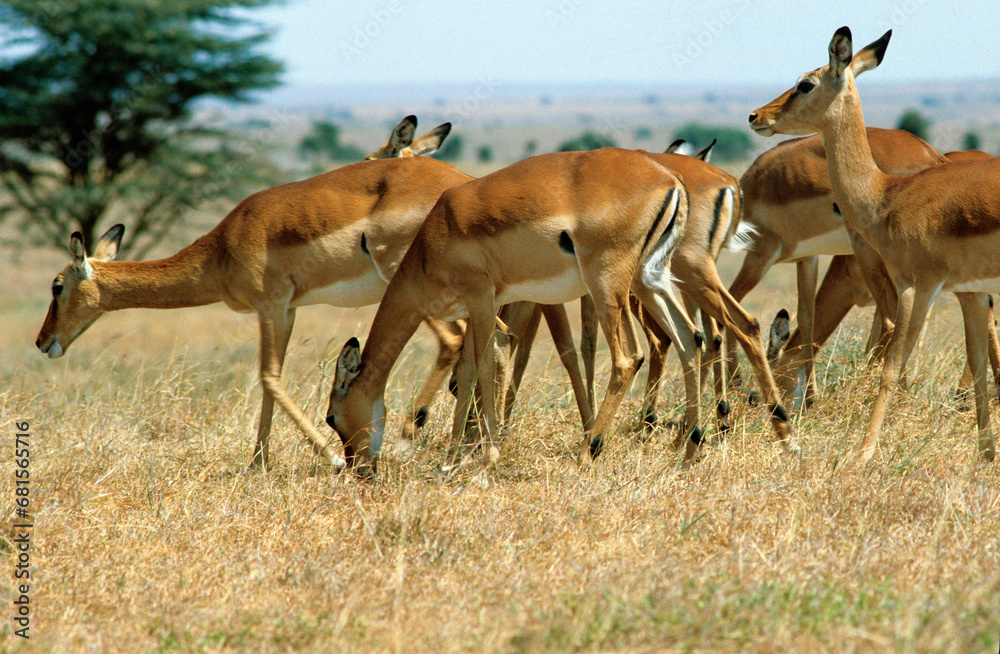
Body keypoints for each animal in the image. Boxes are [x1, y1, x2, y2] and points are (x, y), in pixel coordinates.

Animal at [36, 145, 475, 470]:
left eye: (57, 286)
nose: (43, 341)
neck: (222, 248)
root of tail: (462, 184)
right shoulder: (288, 310)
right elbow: (269, 380)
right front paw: (257, 463)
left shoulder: (271, 306)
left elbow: (269, 377)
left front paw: (330, 458)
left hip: (412, 287)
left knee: (456, 342)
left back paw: (414, 437)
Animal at [749, 27, 997, 461]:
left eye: (805, 83)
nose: (757, 116)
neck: (886, 195)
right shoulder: (968, 291)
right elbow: (977, 364)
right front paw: (986, 456)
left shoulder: (917, 288)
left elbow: (890, 365)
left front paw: (862, 454)